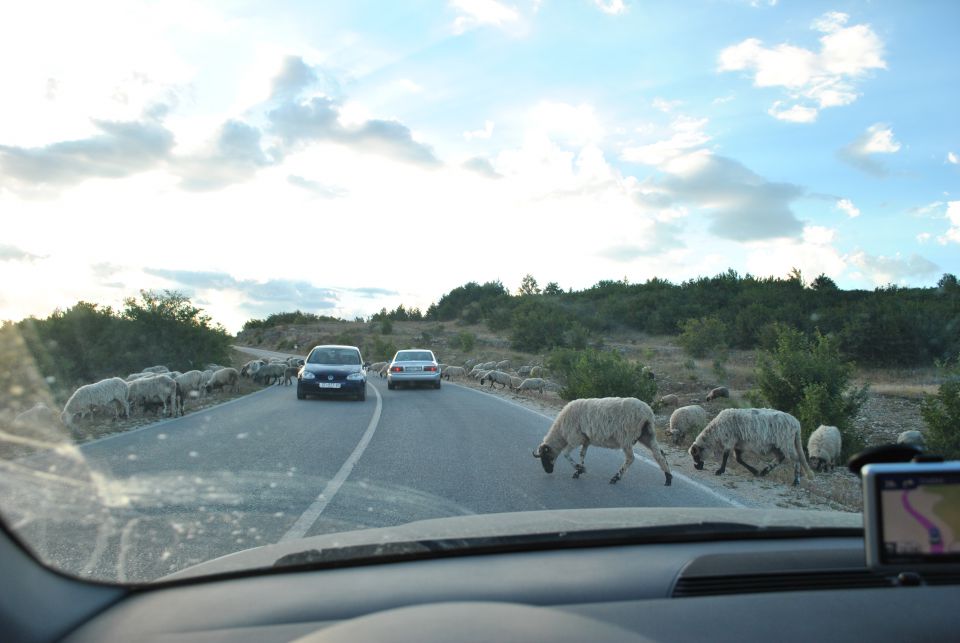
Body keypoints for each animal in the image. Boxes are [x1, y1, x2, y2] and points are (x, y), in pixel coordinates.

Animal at [532, 394, 676, 486]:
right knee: (659, 454)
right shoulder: (586, 440)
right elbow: (582, 454)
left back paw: (615, 478)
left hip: (626, 437)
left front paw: (579, 469)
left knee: (630, 458)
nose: (548, 471)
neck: (561, 430)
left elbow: (566, 454)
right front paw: (579, 471)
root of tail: (647, 413)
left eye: (545, 456)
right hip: (647, 435)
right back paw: (668, 479)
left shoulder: (575, 438)